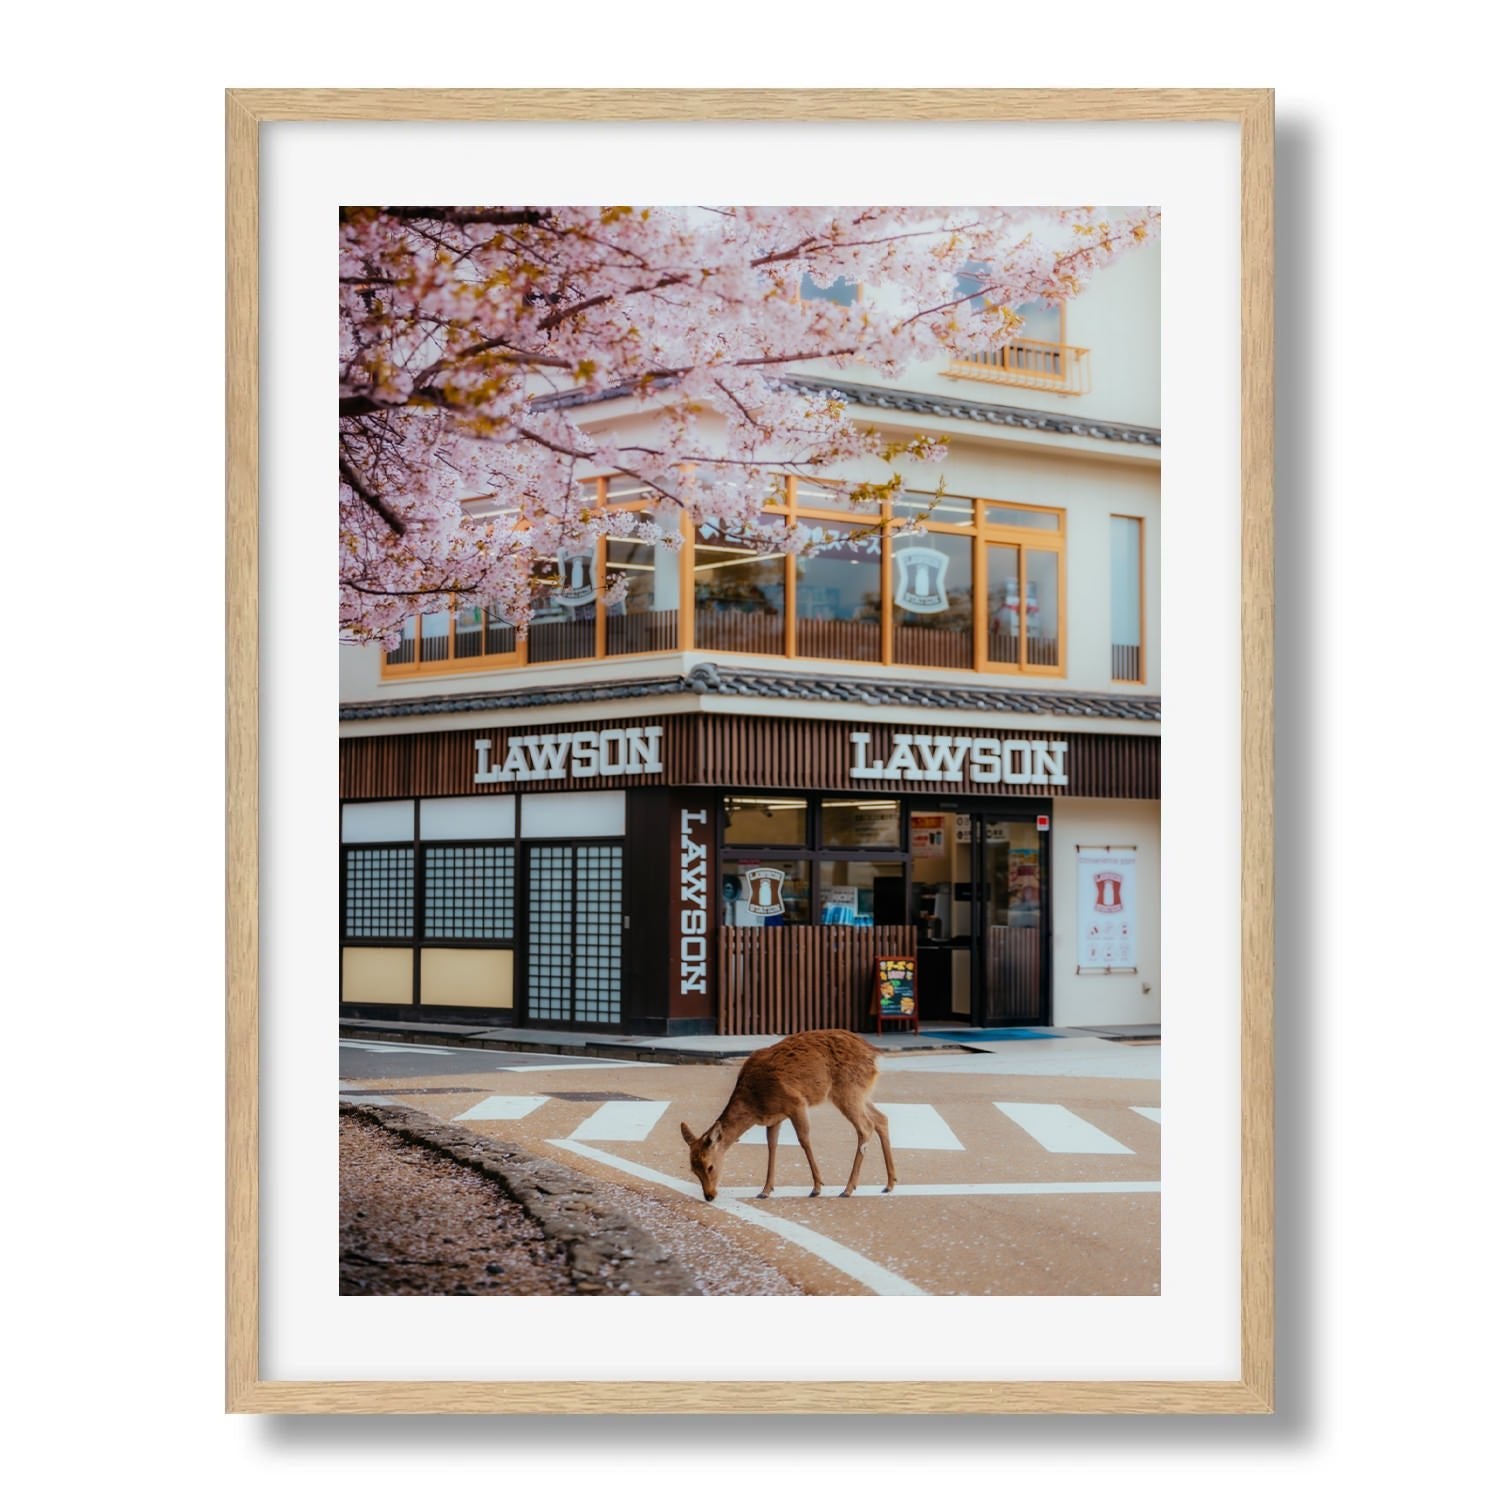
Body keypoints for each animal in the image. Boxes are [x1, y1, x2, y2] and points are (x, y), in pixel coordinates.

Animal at [687, 1026, 894, 1200]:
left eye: (710, 1166)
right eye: (693, 1170)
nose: (709, 1196)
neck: (754, 1105)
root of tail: (874, 1054)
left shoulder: (796, 1103)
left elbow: (804, 1140)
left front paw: (817, 1187)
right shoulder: (774, 1118)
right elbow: (772, 1146)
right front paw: (765, 1190)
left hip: (848, 1091)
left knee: (866, 1126)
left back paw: (848, 1189)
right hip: (860, 1093)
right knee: (881, 1119)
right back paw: (889, 1183)